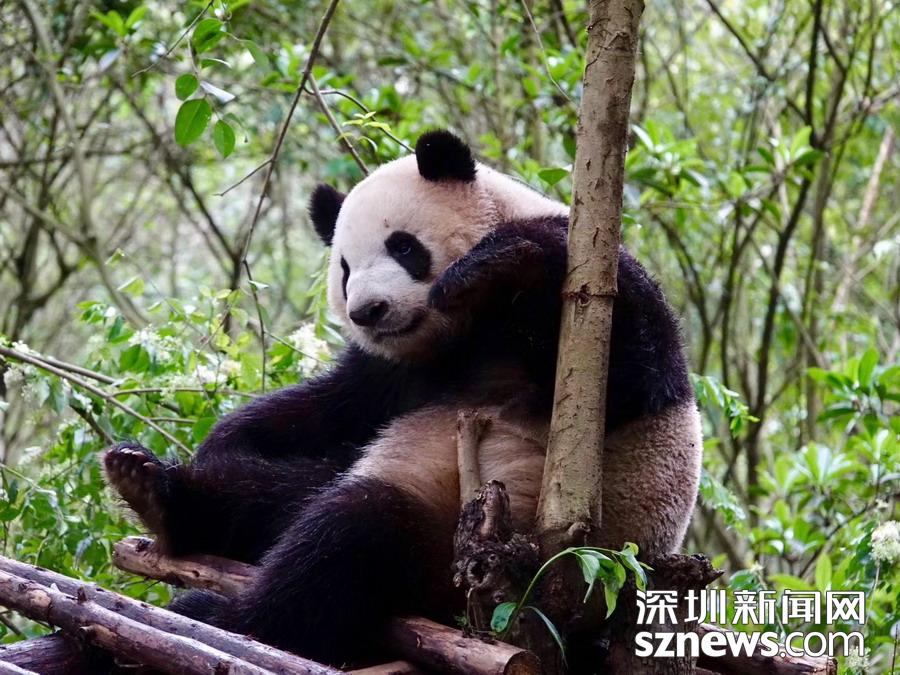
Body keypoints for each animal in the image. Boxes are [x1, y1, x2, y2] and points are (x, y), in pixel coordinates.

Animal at [103, 130, 702, 664]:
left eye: (404, 247)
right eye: (345, 270)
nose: (369, 311)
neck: (461, 331)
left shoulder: (585, 298)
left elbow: (629, 370)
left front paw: (498, 262)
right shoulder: (400, 371)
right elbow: (337, 406)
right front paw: (225, 437)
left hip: (468, 544)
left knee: (345, 544)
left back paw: (224, 615)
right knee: (284, 491)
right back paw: (155, 490)